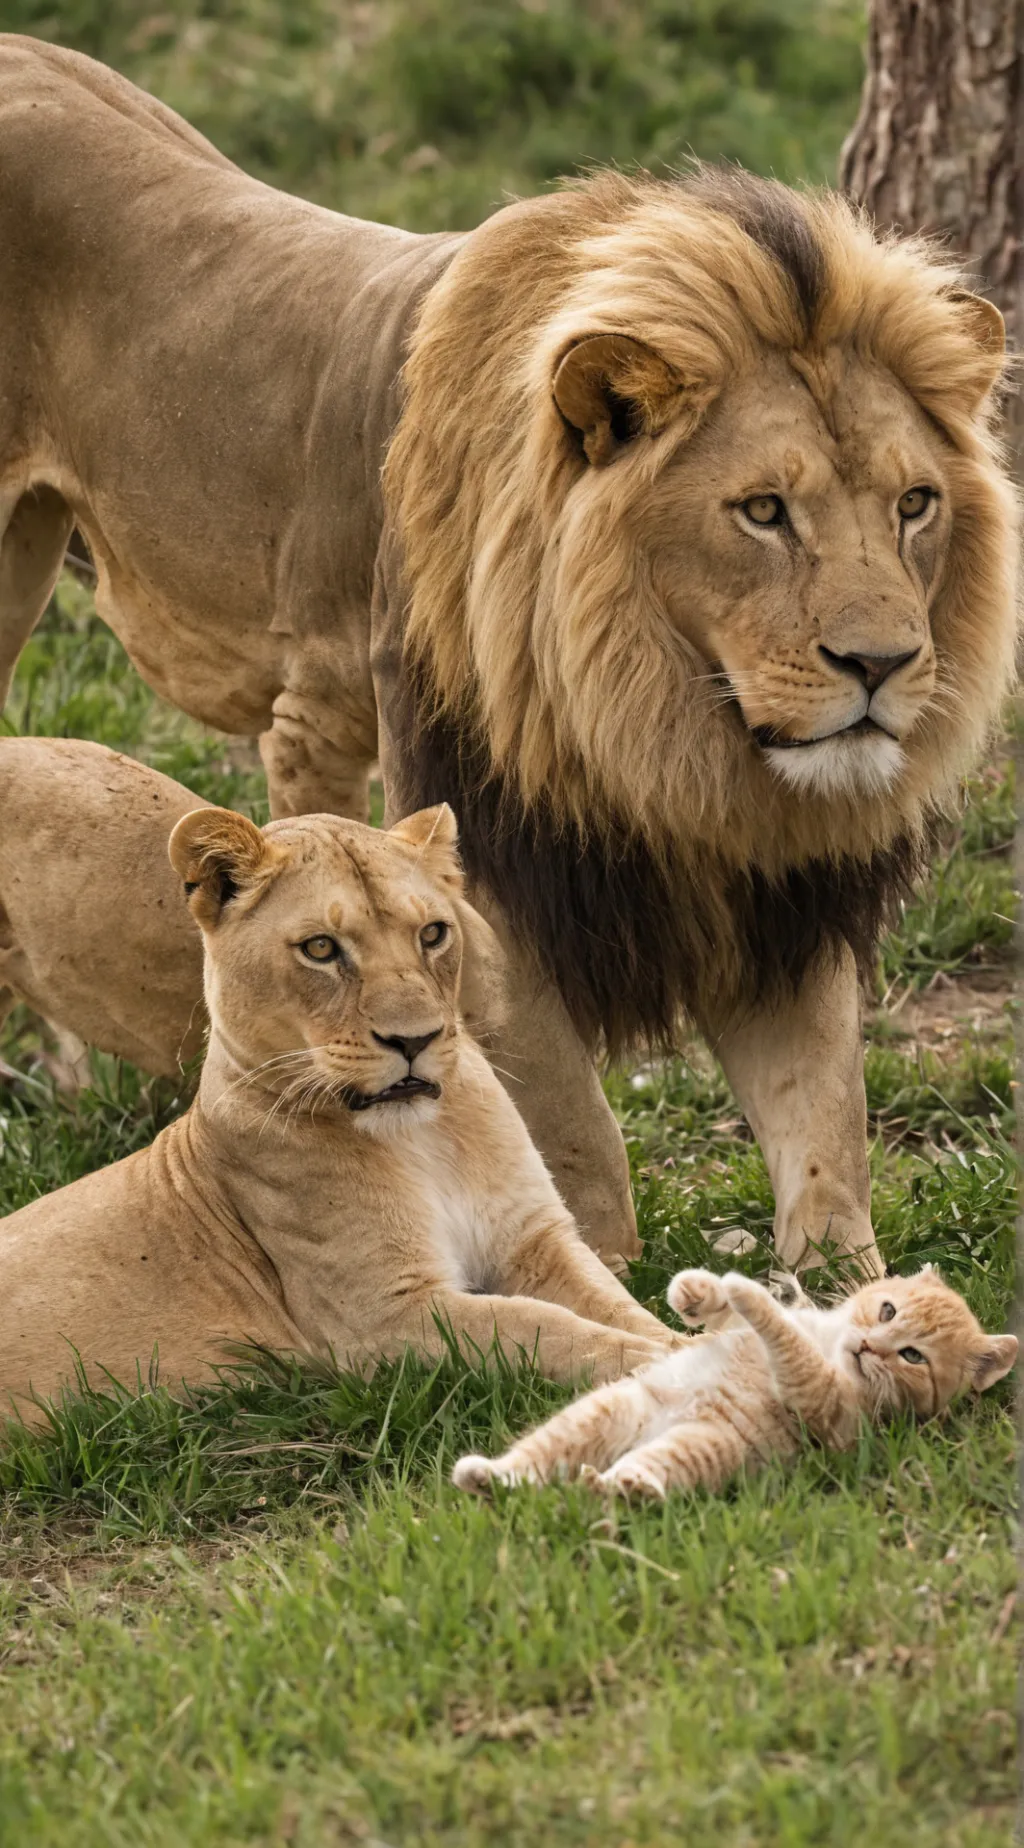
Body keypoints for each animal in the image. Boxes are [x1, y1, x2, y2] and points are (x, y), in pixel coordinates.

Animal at [0, 38, 1017, 1277]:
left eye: (914, 503)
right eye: (763, 511)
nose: (882, 664)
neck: (663, 733)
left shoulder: (774, 890)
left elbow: (825, 1110)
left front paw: (846, 1292)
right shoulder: (482, 853)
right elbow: (570, 1127)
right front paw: (603, 1273)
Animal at [0, 801, 674, 1420]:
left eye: (433, 934)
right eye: (321, 948)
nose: (414, 1040)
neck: (425, 1141)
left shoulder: (533, 1237)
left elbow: (613, 1304)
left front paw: (685, 1340)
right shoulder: (379, 1318)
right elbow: (540, 1326)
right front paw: (664, 1367)